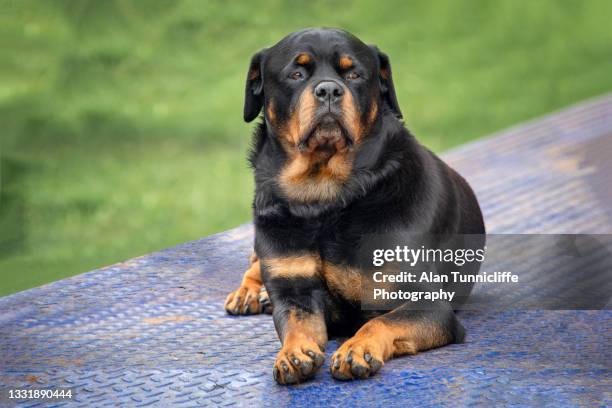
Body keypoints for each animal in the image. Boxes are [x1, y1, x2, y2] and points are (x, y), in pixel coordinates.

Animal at [222, 27, 486, 382]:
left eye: (354, 75)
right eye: (296, 74)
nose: (329, 90)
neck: (324, 198)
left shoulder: (428, 303)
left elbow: (381, 321)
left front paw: (356, 349)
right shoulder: (294, 290)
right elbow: (294, 324)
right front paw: (291, 353)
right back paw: (250, 291)